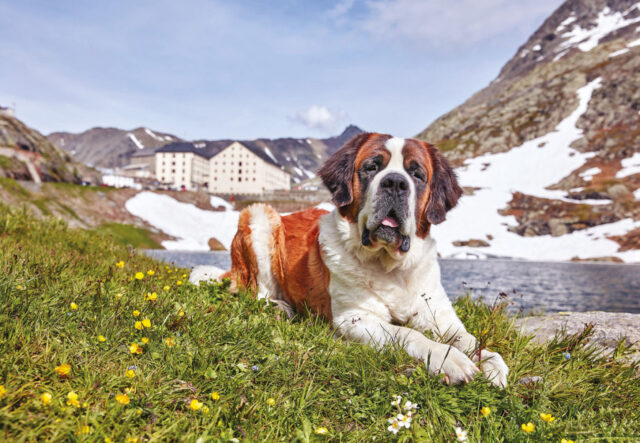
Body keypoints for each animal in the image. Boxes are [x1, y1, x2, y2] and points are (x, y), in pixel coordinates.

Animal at [195, 133, 510, 388]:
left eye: (417, 174)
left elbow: (467, 338)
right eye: (372, 167)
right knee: (256, 292)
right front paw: (449, 359)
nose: (395, 183)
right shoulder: (354, 318)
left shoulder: (441, 316)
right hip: (259, 216)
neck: (390, 268)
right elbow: (407, 334)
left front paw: (491, 362)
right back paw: (282, 307)